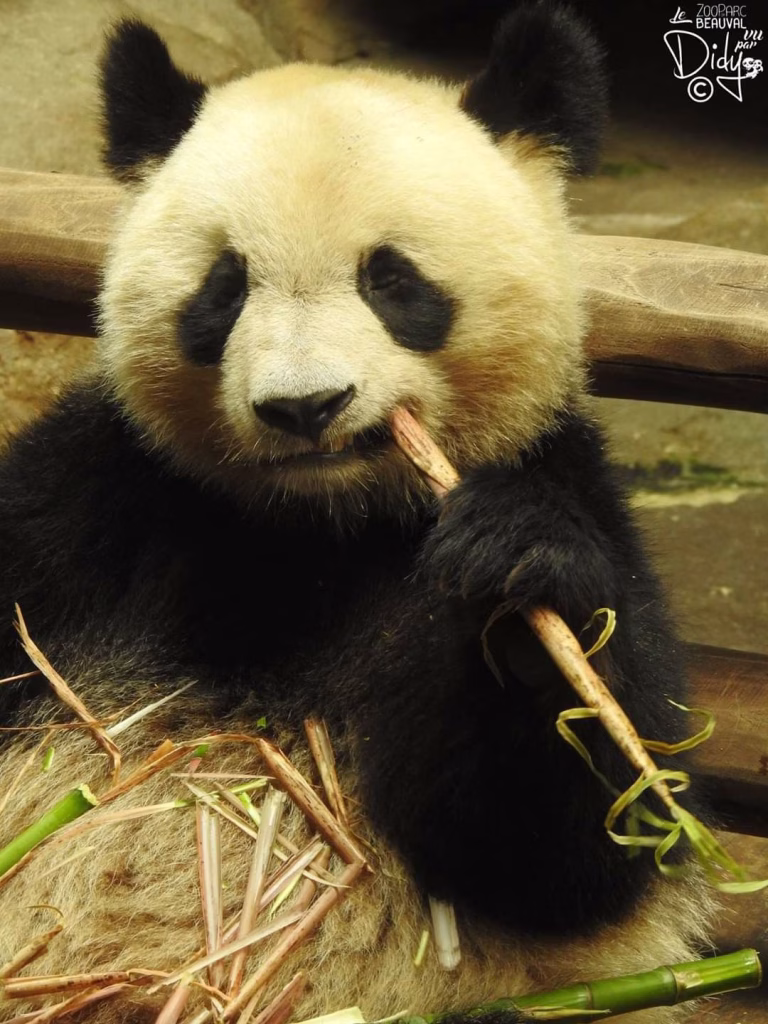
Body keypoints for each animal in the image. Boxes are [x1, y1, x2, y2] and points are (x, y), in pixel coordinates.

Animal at [0, 5, 713, 1024]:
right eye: (225, 286)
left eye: (393, 280)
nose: (306, 407)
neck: (321, 524)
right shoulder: (96, 494)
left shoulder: (563, 477)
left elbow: (584, 849)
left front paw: (517, 582)